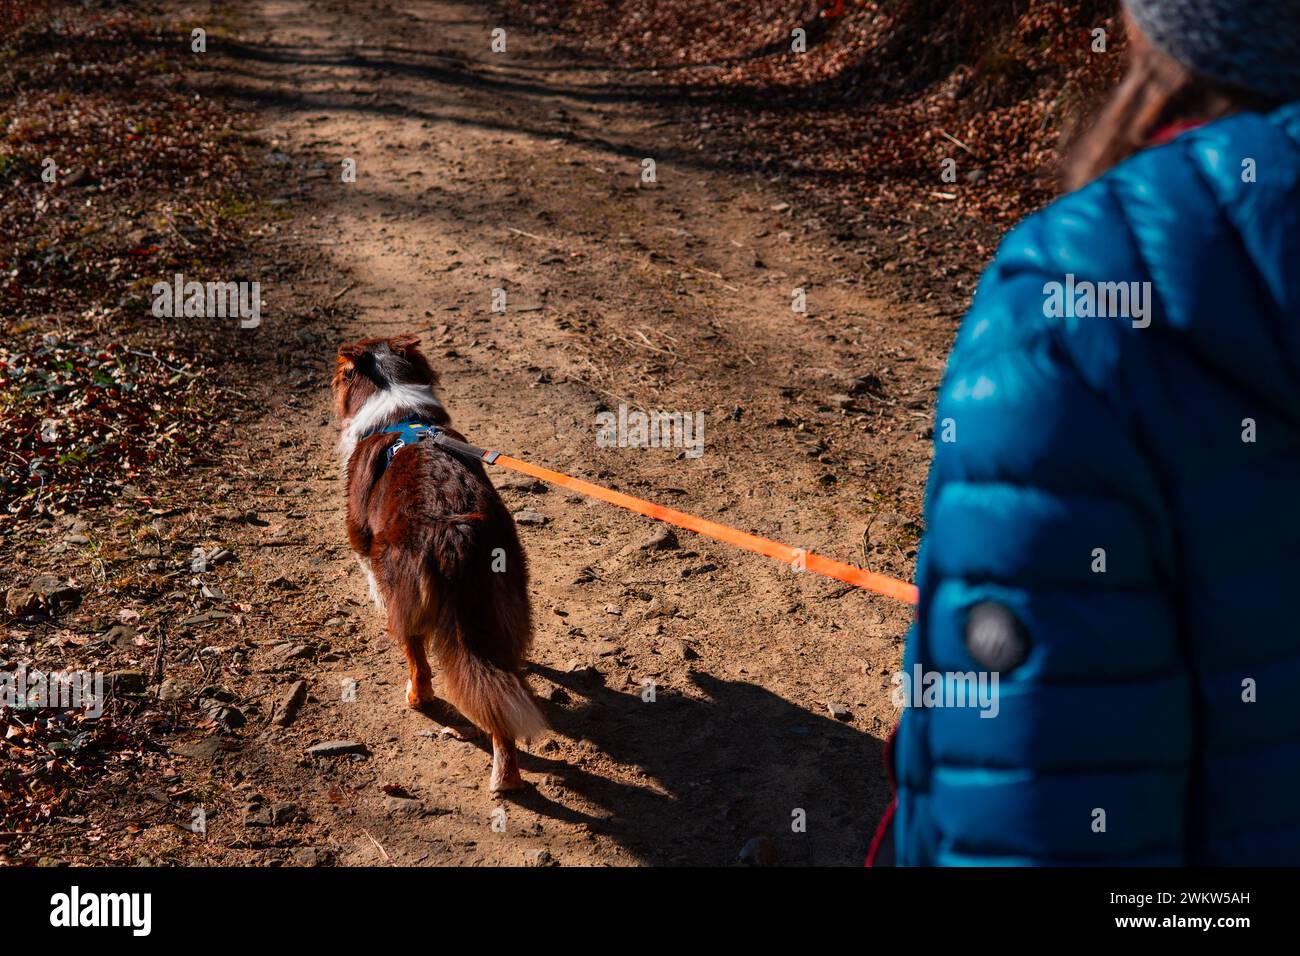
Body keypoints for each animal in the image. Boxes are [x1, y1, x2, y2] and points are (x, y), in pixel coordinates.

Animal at [332, 335, 546, 790]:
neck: (400, 413)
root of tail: (455, 525)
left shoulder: (362, 540)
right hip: (506, 594)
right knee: (499, 677)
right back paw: (507, 775)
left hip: (409, 596)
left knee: (419, 658)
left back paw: (419, 699)